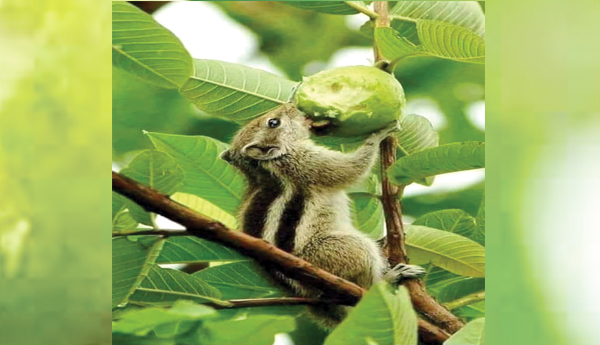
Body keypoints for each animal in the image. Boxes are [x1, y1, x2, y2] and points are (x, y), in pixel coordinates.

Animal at [218, 103, 424, 328]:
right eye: (273, 122)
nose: (292, 104)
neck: (266, 166)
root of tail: (309, 293)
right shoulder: (307, 162)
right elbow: (351, 167)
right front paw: (378, 135)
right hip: (339, 251)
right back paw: (391, 278)